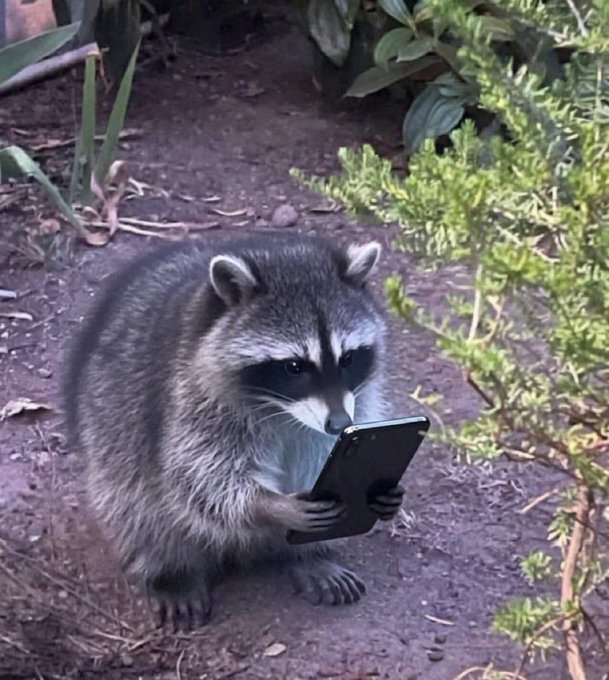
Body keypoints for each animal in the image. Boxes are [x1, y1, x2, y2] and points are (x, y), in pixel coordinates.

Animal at [62, 233, 403, 630]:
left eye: (348, 359)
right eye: (294, 366)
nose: (340, 424)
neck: (285, 410)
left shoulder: (357, 400)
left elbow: (322, 453)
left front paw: (382, 492)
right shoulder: (193, 395)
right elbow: (199, 477)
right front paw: (270, 505)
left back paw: (309, 555)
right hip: (112, 432)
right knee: (139, 507)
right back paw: (170, 571)